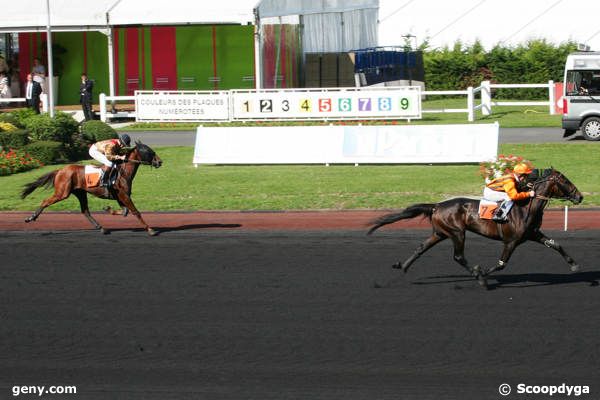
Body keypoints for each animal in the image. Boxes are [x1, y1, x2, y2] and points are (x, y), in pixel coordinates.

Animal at [21, 141, 163, 236]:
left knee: (85, 211)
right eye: (149, 151)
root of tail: (60, 170)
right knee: (45, 201)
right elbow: (135, 212)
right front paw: (151, 230)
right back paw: (31, 218)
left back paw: (101, 228)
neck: (123, 172)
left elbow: (125, 212)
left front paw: (107, 209)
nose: (160, 162)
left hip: (80, 193)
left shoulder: (120, 196)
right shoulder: (124, 195)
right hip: (62, 192)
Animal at [368, 169, 584, 288]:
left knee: (421, 247)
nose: (580, 196)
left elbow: (556, 244)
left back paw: (403, 266)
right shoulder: (511, 241)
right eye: (565, 181)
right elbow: (501, 263)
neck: (526, 208)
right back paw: (477, 274)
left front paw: (574, 265)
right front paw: (483, 275)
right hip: (457, 232)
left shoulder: (533, 234)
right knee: (458, 256)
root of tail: (437, 206)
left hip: (440, 232)